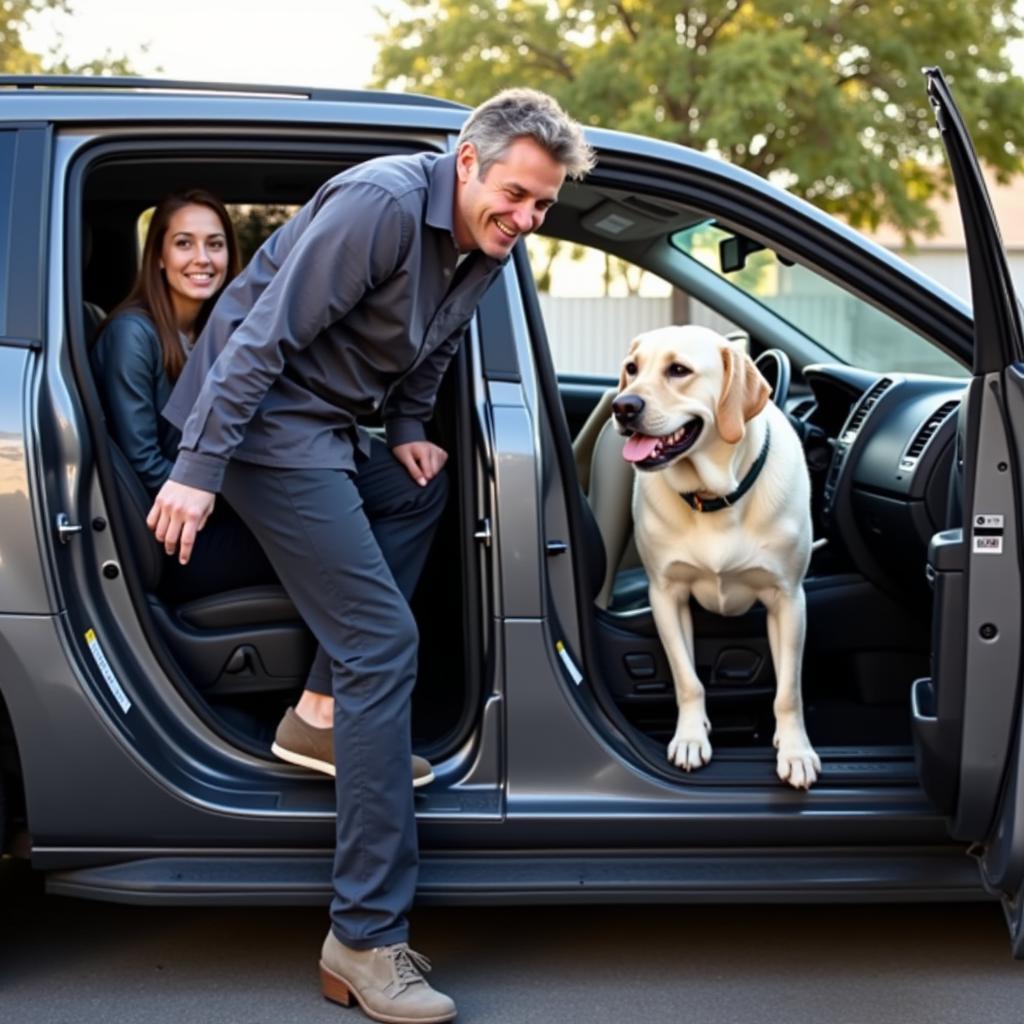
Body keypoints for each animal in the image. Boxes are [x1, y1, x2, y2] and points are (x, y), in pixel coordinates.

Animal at [610, 323, 819, 786]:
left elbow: (790, 691)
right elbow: (688, 680)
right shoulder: (666, 595)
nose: (622, 406)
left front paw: (795, 750)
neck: (714, 497)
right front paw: (691, 736)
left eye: (679, 370)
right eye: (632, 368)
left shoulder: (789, 600)